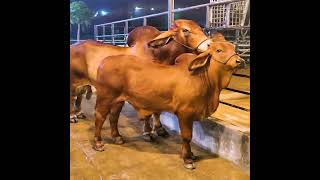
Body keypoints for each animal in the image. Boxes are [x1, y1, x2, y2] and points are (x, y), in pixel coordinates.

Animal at [69, 19, 212, 139]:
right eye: (185, 30)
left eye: (201, 28)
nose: (210, 45)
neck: (158, 55)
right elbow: (148, 113)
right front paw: (148, 132)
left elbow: (157, 111)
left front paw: (160, 129)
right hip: (73, 82)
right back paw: (72, 116)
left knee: (79, 96)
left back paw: (79, 113)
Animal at [92, 33, 245, 169]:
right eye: (219, 50)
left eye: (234, 48)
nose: (240, 61)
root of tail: (105, 61)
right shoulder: (185, 114)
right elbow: (187, 136)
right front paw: (188, 159)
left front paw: (190, 155)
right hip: (105, 97)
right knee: (100, 117)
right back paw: (98, 143)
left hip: (118, 100)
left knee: (114, 117)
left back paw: (117, 137)